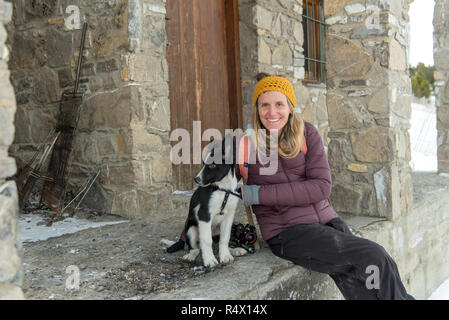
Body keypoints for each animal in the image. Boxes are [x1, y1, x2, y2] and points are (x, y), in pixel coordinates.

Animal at [161, 137, 247, 268]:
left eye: (212, 165)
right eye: (204, 164)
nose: (196, 179)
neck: (222, 189)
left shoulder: (229, 216)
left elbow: (224, 238)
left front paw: (225, 255)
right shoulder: (204, 214)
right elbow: (206, 240)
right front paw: (209, 260)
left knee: (217, 241)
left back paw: (235, 250)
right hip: (191, 230)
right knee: (196, 247)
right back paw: (191, 256)